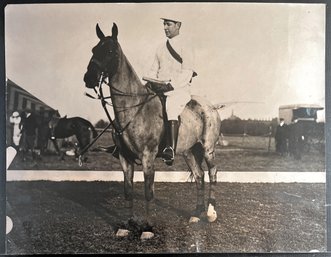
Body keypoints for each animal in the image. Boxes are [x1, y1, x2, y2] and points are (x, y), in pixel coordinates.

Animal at [84, 23, 222, 238]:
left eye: (110, 51)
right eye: (93, 49)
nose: (89, 78)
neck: (133, 107)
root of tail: (210, 106)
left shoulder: (148, 156)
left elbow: (149, 192)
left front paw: (147, 228)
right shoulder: (125, 157)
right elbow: (128, 190)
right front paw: (127, 225)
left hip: (208, 148)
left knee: (213, 173)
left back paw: (210, 213)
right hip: (189, 151)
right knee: (199, 176)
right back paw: (195, 214)